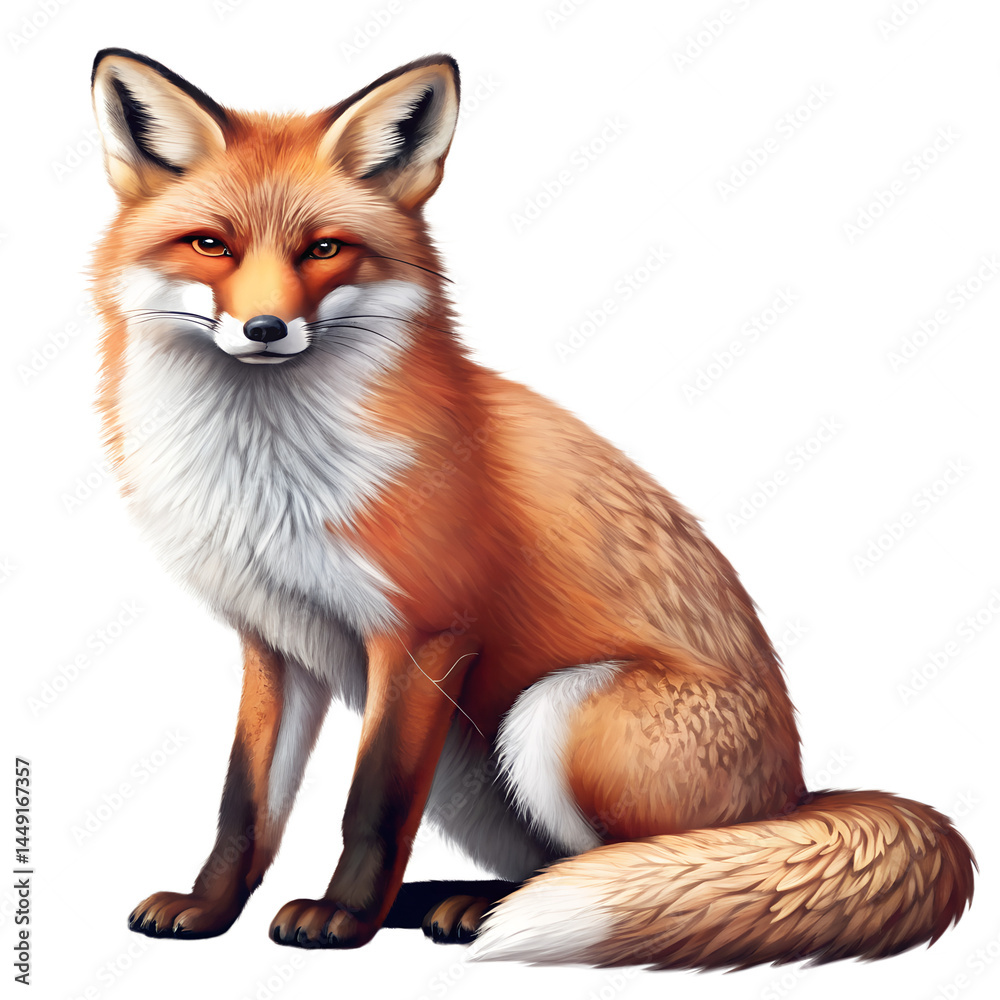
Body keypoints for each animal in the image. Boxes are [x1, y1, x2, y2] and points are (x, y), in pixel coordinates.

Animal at [88, 47, 975, 968]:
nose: (264, 328)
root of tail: (797, 797)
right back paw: (461, 901)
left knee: (640, 869)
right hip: (471, 767)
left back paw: (490, 910)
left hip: (550, 715)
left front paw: (341, 920)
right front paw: (207, 907)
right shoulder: (275, 641)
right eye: (211, 244)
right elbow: (245, 804)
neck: (266, 474)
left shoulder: (424, 634)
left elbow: (372, 806)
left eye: (325, 249)